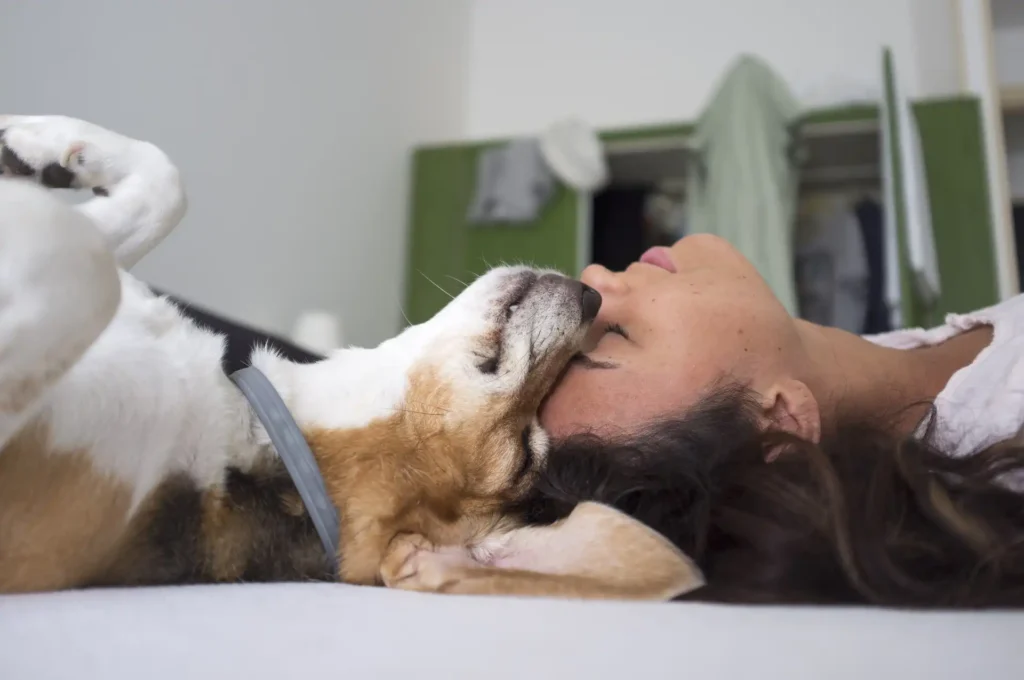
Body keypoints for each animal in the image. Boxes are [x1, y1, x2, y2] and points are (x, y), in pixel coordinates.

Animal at [0, 115, 704, 602]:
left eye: (528, 454)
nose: (594, 296)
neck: (261, 428)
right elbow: (163, 185)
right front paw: (41, 143)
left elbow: (82, 257)